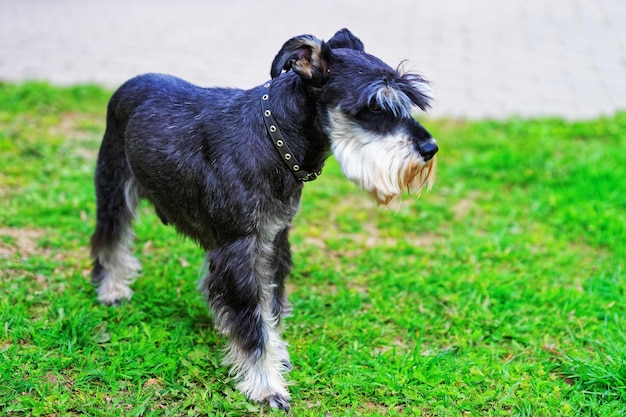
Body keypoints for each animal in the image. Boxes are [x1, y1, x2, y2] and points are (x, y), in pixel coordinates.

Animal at [90, 28, 436, 410]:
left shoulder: (273, 240)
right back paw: (112, 289)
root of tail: (128, 84)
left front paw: (276, 354)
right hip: (114, 187)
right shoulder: (242, 249)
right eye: (375, 105)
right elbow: (253, 323)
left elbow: (271, 307)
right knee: (110, 237)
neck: (274, 139)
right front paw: (265, 383)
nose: (430, 149)